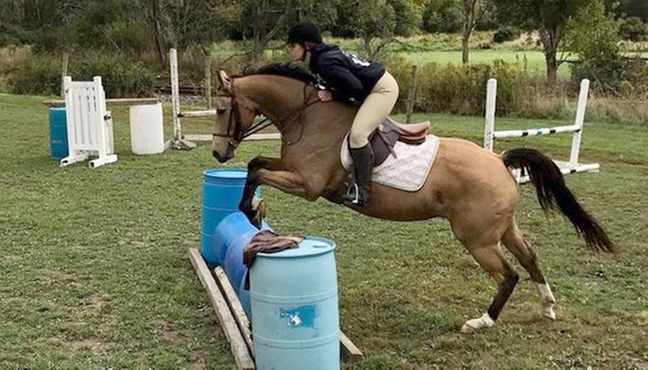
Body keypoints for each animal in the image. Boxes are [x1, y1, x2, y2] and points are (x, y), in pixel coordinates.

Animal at [210, 64, 616, 336]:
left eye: (220, 109)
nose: (217, 153)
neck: (306, 115)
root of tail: (500, 161)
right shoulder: (293, 170)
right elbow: (256, 163)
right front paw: (256, 209)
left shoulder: (307, 185)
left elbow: (256, 172)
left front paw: (251, 211)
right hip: (503, 228)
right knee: (530, 258)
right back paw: (547, 306)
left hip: (477, 238)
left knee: (509, 274)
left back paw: (480, 321)